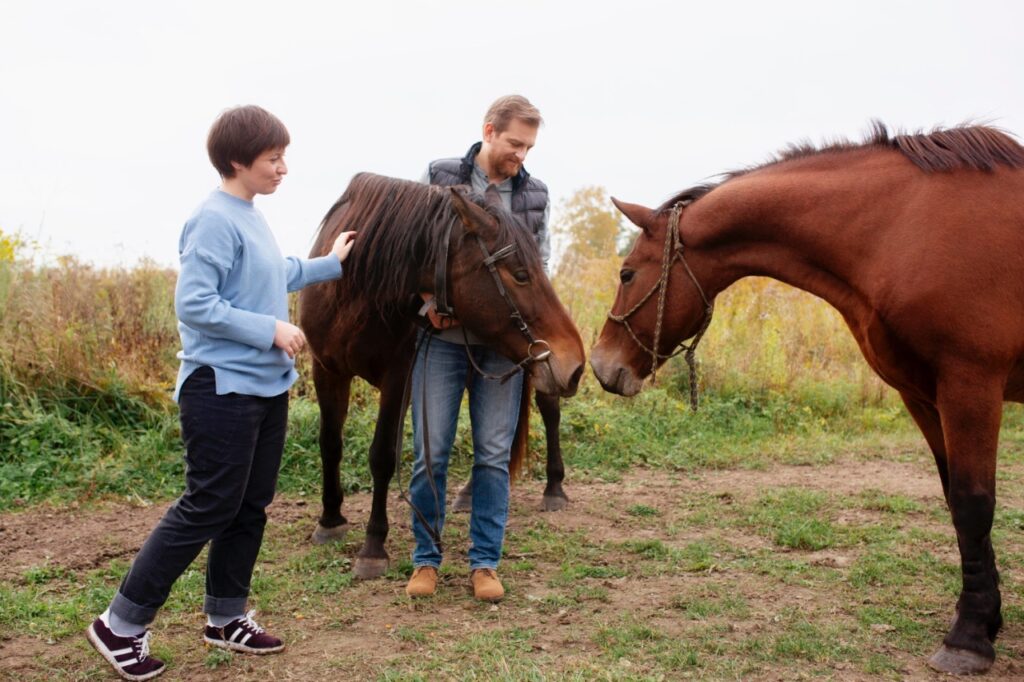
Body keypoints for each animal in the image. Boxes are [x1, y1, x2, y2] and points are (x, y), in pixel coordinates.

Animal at [299, 172, 585, 580]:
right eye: (519, 275)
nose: (574, 362)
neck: (354, 293)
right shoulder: (326, 370)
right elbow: (330, 444)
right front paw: (330, 519)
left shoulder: (399, 379)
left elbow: (382, 456)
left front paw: (373, 545)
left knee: (550, 412)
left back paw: (554, 488)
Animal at [590, 123, 1024, 675]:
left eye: (627, 274)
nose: (603, 365)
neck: (904, 225)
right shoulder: (924, 396)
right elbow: (955, 503)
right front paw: (987, 619)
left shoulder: (970, 386)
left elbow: (972, 505)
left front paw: (968, 639)